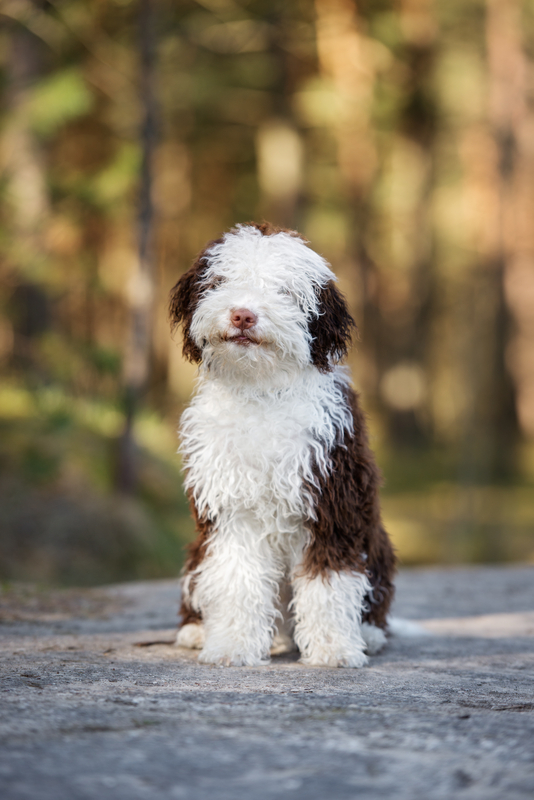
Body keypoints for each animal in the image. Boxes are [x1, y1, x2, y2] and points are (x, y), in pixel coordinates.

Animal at [170, 222, 396, 664]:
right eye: (221, 281)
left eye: (284, 291)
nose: (243, 314)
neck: (261, 390)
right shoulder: (231, 511)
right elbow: (237, 579)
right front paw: (232, 645)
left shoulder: (332, 503)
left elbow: (329, 583)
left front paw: (333, 648)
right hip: (197, 552)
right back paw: (198, 630)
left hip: (375, 542)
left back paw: (369, 633)